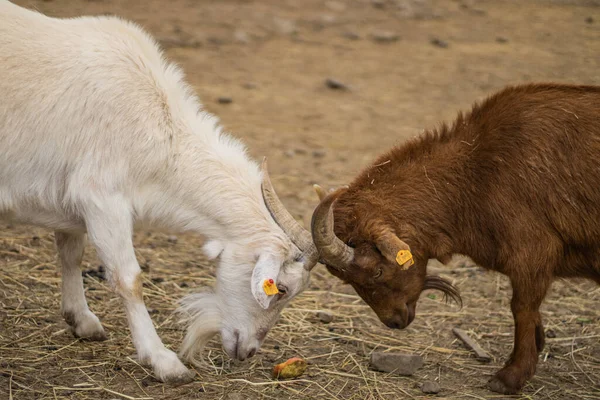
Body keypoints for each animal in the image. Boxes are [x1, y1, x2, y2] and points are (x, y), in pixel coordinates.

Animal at [0, 0, 316, 384]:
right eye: (280, 289)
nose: (249, 351)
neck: (161, 130)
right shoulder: (102, 196)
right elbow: (129, 279)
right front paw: (164, 361)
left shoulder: (71, 199)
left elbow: (70, 253)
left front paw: (83, 321)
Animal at [310, 84, 600, 394]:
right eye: (345, 280)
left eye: (376, 270)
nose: (395, 321)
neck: (475, 172)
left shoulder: (532, 253)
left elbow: (522, 308)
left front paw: (510, 377)